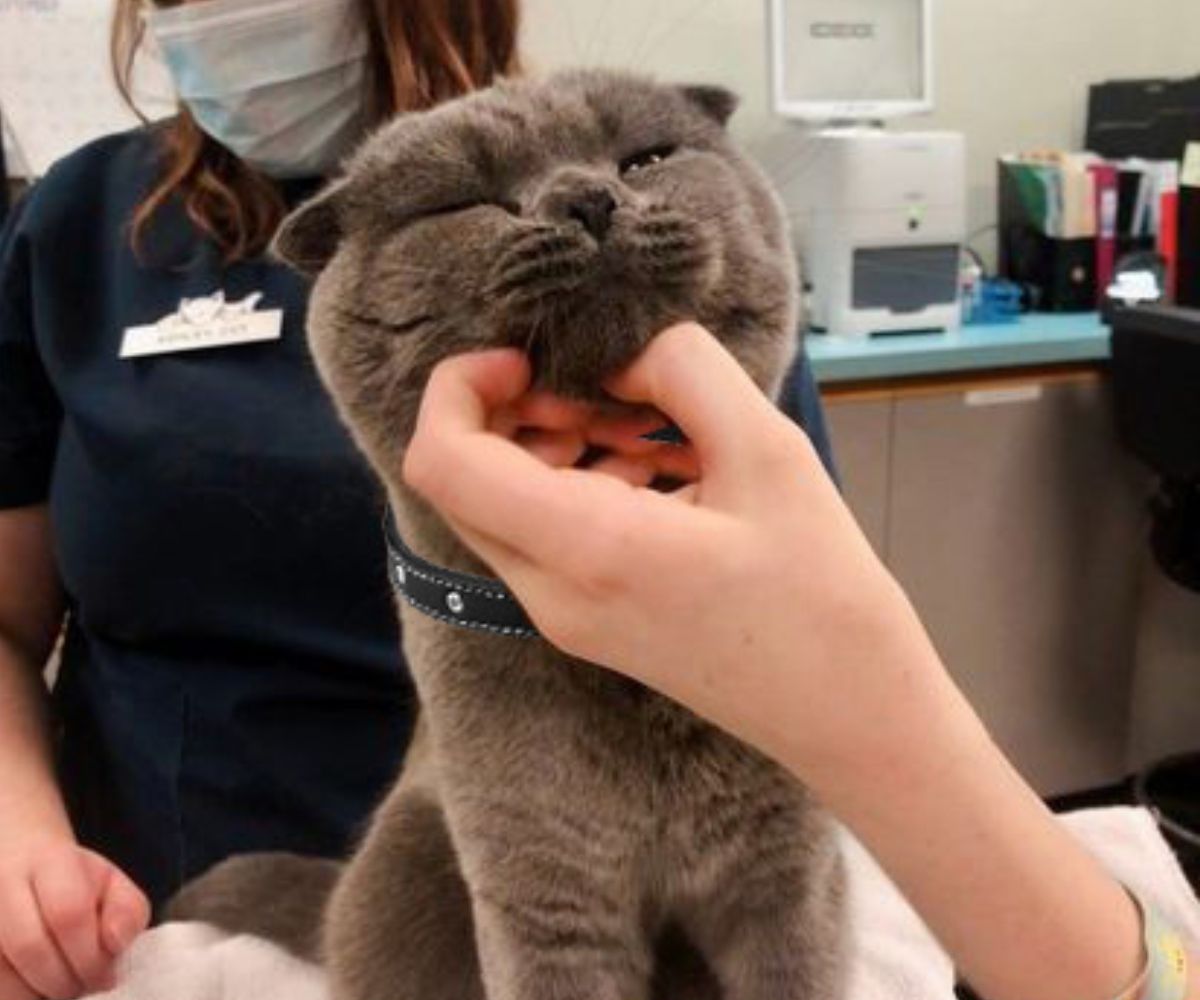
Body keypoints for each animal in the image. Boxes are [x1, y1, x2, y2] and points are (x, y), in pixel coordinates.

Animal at [171, 68, 844, 998]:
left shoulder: (792, 877)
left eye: (647, 159)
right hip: (413, 859)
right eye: (466, 203)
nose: (588, 198)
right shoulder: (541, 897)